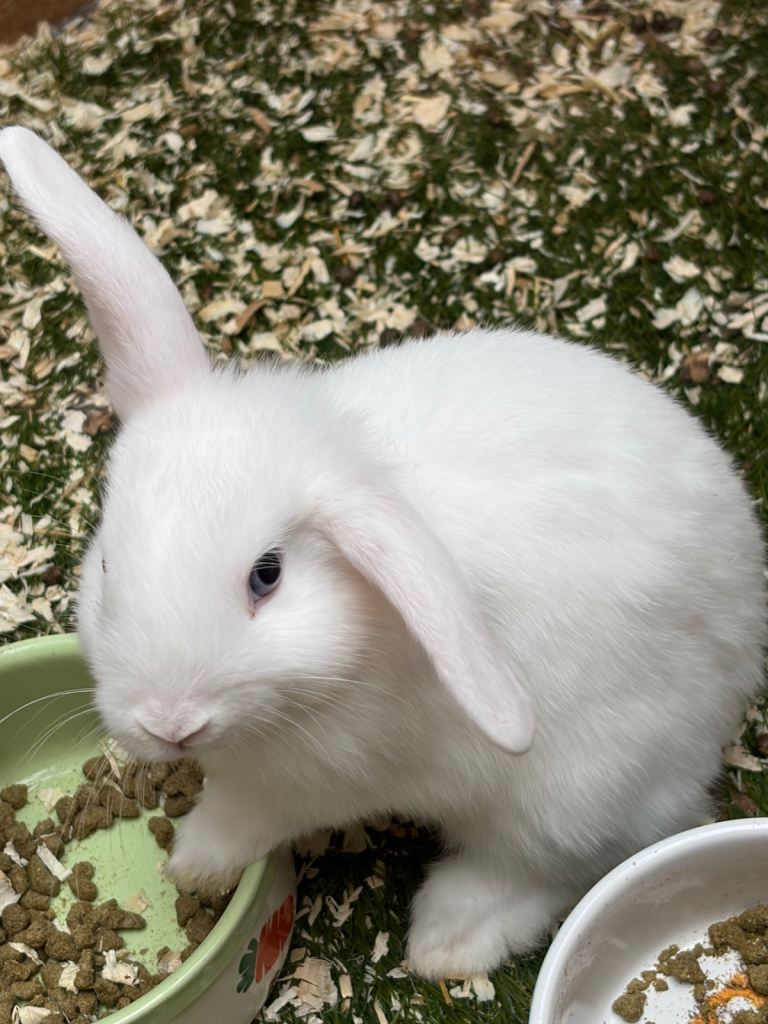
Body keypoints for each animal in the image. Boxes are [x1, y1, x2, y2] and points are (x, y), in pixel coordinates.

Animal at [1, 126, 765, 980]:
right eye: (107, 567)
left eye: (267, 575)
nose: (172, 725)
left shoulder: (321, 779)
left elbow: (247, 814)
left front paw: (193, 864)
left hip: (571, 795)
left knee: (548, 868)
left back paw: (446, 941)